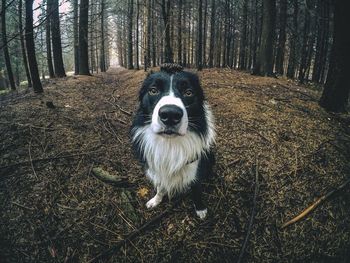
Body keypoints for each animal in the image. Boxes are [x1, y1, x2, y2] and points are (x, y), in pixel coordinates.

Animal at [130, 64, 215, 221]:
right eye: (153, 90)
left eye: (188, 92)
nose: (170, 115)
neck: (170, 144)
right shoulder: (158, 168)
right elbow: (160, 186)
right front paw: (156, 200)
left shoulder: (195, 168)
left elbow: (196, 188)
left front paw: (200, 208)